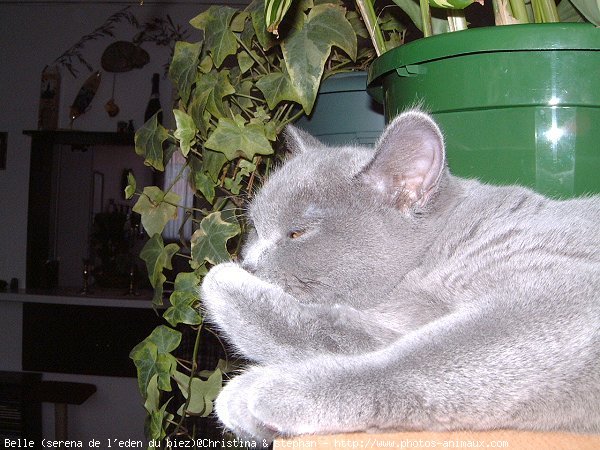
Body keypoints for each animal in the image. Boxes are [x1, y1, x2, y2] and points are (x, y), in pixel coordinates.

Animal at [199, 110, 596, 442]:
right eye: (254, 228)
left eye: (297, 233)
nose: (248, 264)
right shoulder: (401, 318)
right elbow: (345, 334)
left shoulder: (562, 292)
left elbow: (416, 359)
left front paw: (270, 388)